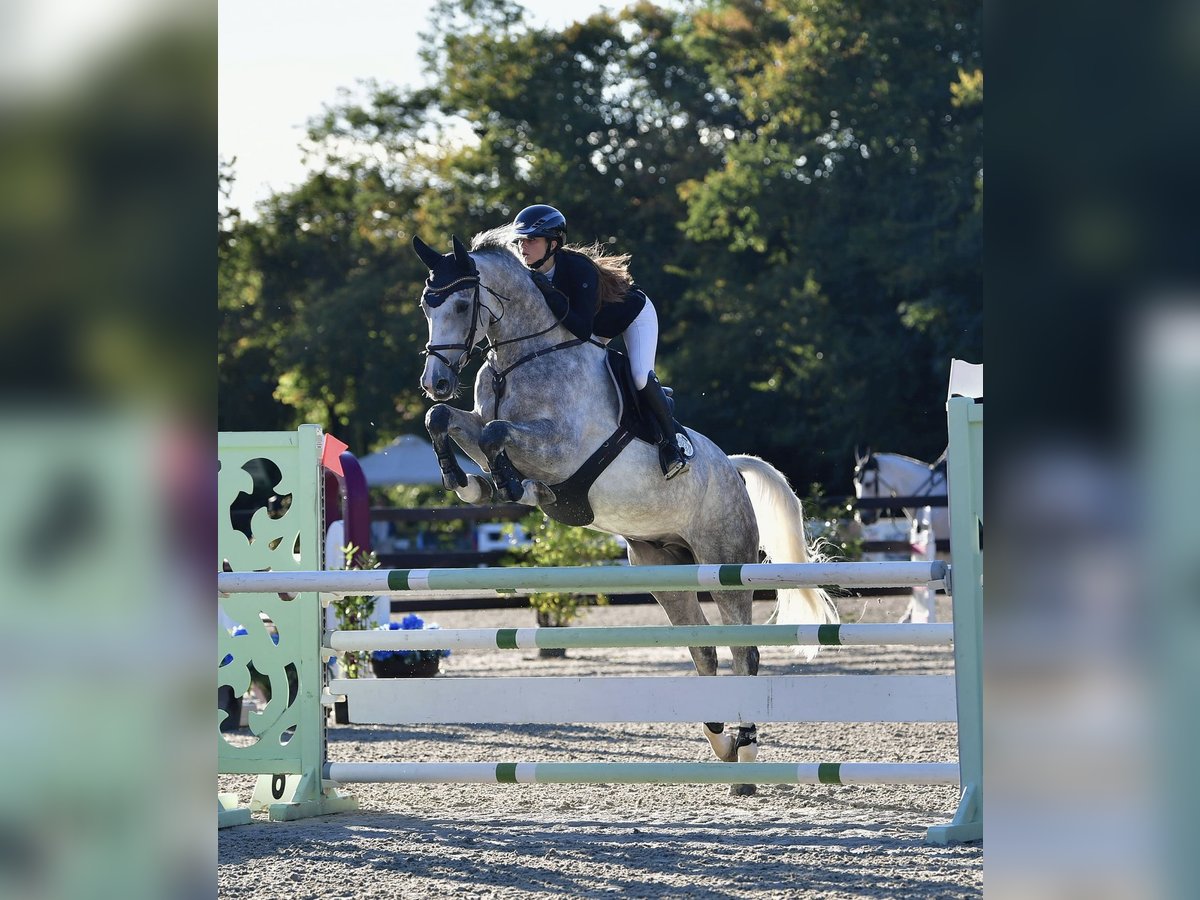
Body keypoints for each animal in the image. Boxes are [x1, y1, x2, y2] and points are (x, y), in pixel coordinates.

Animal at [412, 229, 839, 794]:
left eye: (462, 304)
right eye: (426, 304)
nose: (434, 380)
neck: (519, 359)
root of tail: (730, 467)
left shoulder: (561, 449)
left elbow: (496, 433)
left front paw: (508, 484)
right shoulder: (479, 418)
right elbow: (450, 421)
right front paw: (467, 483)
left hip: (724, 561)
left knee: (742, 651)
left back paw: (745, 756)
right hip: (662, 567)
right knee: (703, 649)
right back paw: (722, 744)